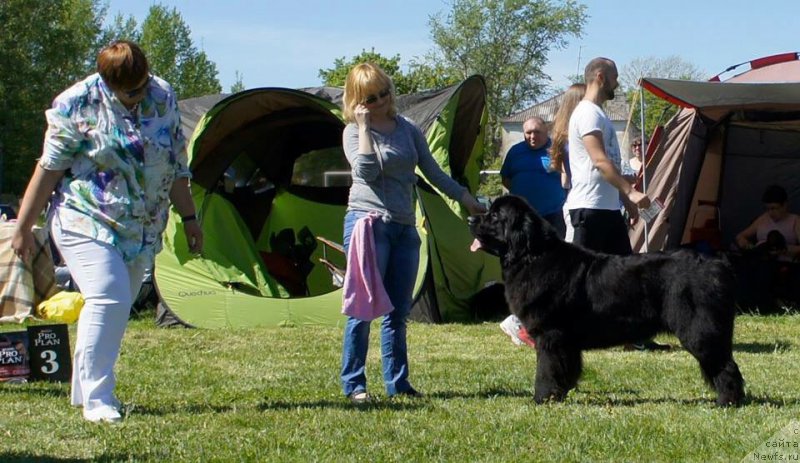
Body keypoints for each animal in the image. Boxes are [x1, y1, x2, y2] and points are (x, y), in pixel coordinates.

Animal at [466, 195, 748, 406]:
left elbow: (546, 369)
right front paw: (562, 393)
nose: (470, 218)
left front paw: (542, 399)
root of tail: (718, 264)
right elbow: (567, 368)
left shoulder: (550, 335)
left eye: (494, 216)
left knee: (725, 365)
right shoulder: (566, 342)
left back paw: (727, 401)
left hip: (699, 329)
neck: (531, 256)